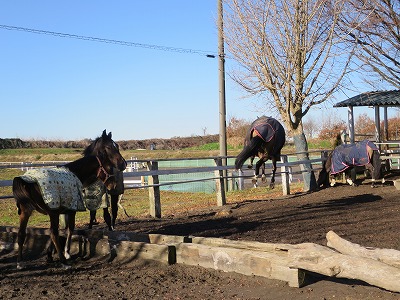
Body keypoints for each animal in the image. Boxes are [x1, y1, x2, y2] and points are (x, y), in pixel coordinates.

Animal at [12, 130, 126, 268]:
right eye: (109, 147)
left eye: (117, 146)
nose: (123, 164)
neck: (75, 172)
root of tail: (24, 180)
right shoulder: (70, 210)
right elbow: (70, 229)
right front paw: (66, 253)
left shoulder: (63, 211)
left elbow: (65, 230)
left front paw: (52, 254)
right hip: (51, 212)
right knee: (53, 233)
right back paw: (63, 261)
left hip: (26, 212)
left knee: (21, 233)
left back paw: (20, 262)